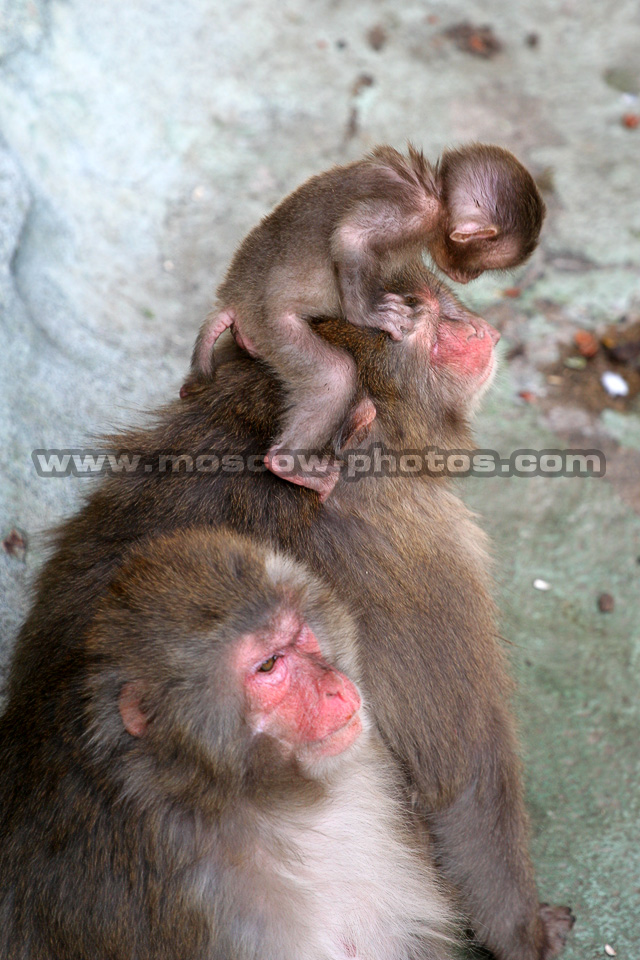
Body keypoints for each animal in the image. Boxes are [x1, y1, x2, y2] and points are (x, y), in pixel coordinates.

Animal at [189, 143, 545, 497]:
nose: (468, 277)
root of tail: (232, 297)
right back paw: (288, 464)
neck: (437, 192)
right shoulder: (414, 213)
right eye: (480, 265)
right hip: (271, 326)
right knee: (335, 376)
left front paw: (464, 315)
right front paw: (368, 314)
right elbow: (351, 238)